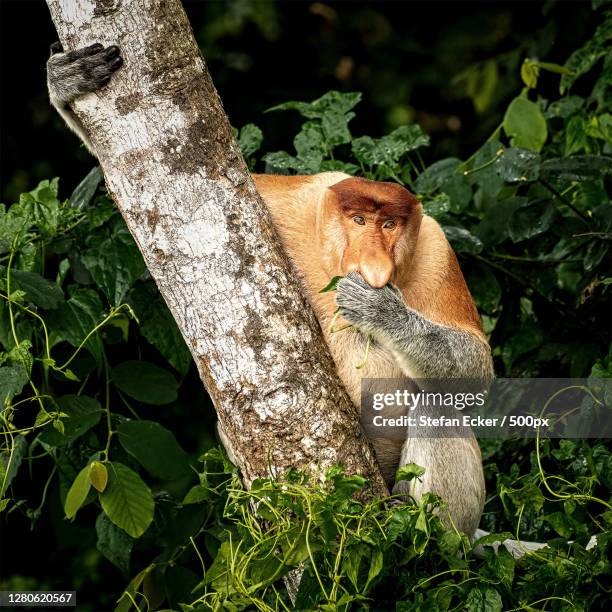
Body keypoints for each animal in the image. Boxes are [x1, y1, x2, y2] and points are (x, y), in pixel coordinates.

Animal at [49, 43, 498, 536]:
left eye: (390, 225)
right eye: (359, 220)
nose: (375, 267)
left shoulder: (435, 249)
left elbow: (476, 369)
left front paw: (381, 309)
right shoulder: (288, 200)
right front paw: (68, 81)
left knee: (440, 406)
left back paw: (424, 534)